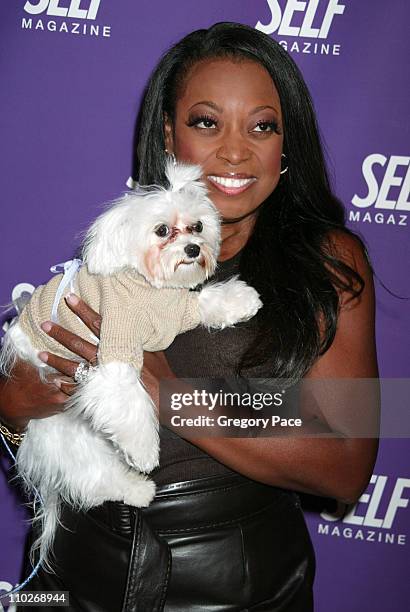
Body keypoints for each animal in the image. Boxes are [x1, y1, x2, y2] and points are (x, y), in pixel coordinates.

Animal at [0, 160, 262, 568]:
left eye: (198, 226)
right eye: (162, 230)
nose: (193, 248)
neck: (151, 291)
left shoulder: (179, 309)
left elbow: (203, 302)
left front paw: (240, 301)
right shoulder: (115, 348)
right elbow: (128, 397)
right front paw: (143, 450)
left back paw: (137, 491)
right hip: (65, 431)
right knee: (94, 475)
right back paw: (136, 485)